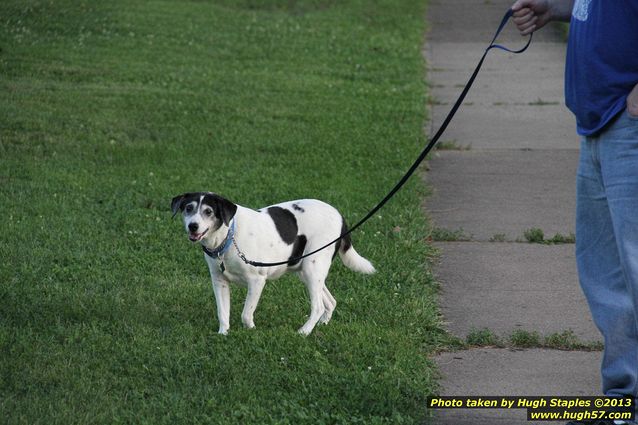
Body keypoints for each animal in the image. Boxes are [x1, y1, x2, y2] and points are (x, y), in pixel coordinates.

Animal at [172, 192, 378, 334]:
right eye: (188, 208)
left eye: (208, 211)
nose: (193, 226)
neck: (228, 235)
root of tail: (340, 217)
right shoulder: (219, 281)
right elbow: (222, 313)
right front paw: (223, 334)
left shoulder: (257, 280)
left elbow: (246, 314)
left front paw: (251, 331)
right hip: (307, 272)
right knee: (330, 301)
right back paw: (321, 325)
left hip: (312, 269)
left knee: (318, 306)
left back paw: (304, 332)